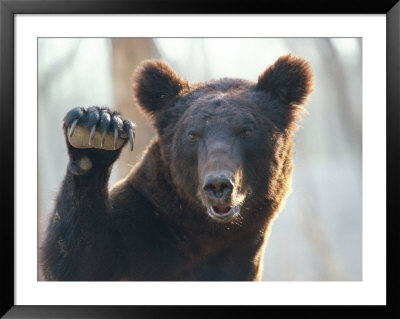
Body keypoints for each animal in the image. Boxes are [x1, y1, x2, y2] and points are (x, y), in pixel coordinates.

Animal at [42, 55, 314, 282]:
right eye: (192, 134)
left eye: (247, 130)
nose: (218, 185)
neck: (205, 231)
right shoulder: (139, 224)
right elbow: (80, 261)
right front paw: (98, 126)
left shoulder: (240, 255)